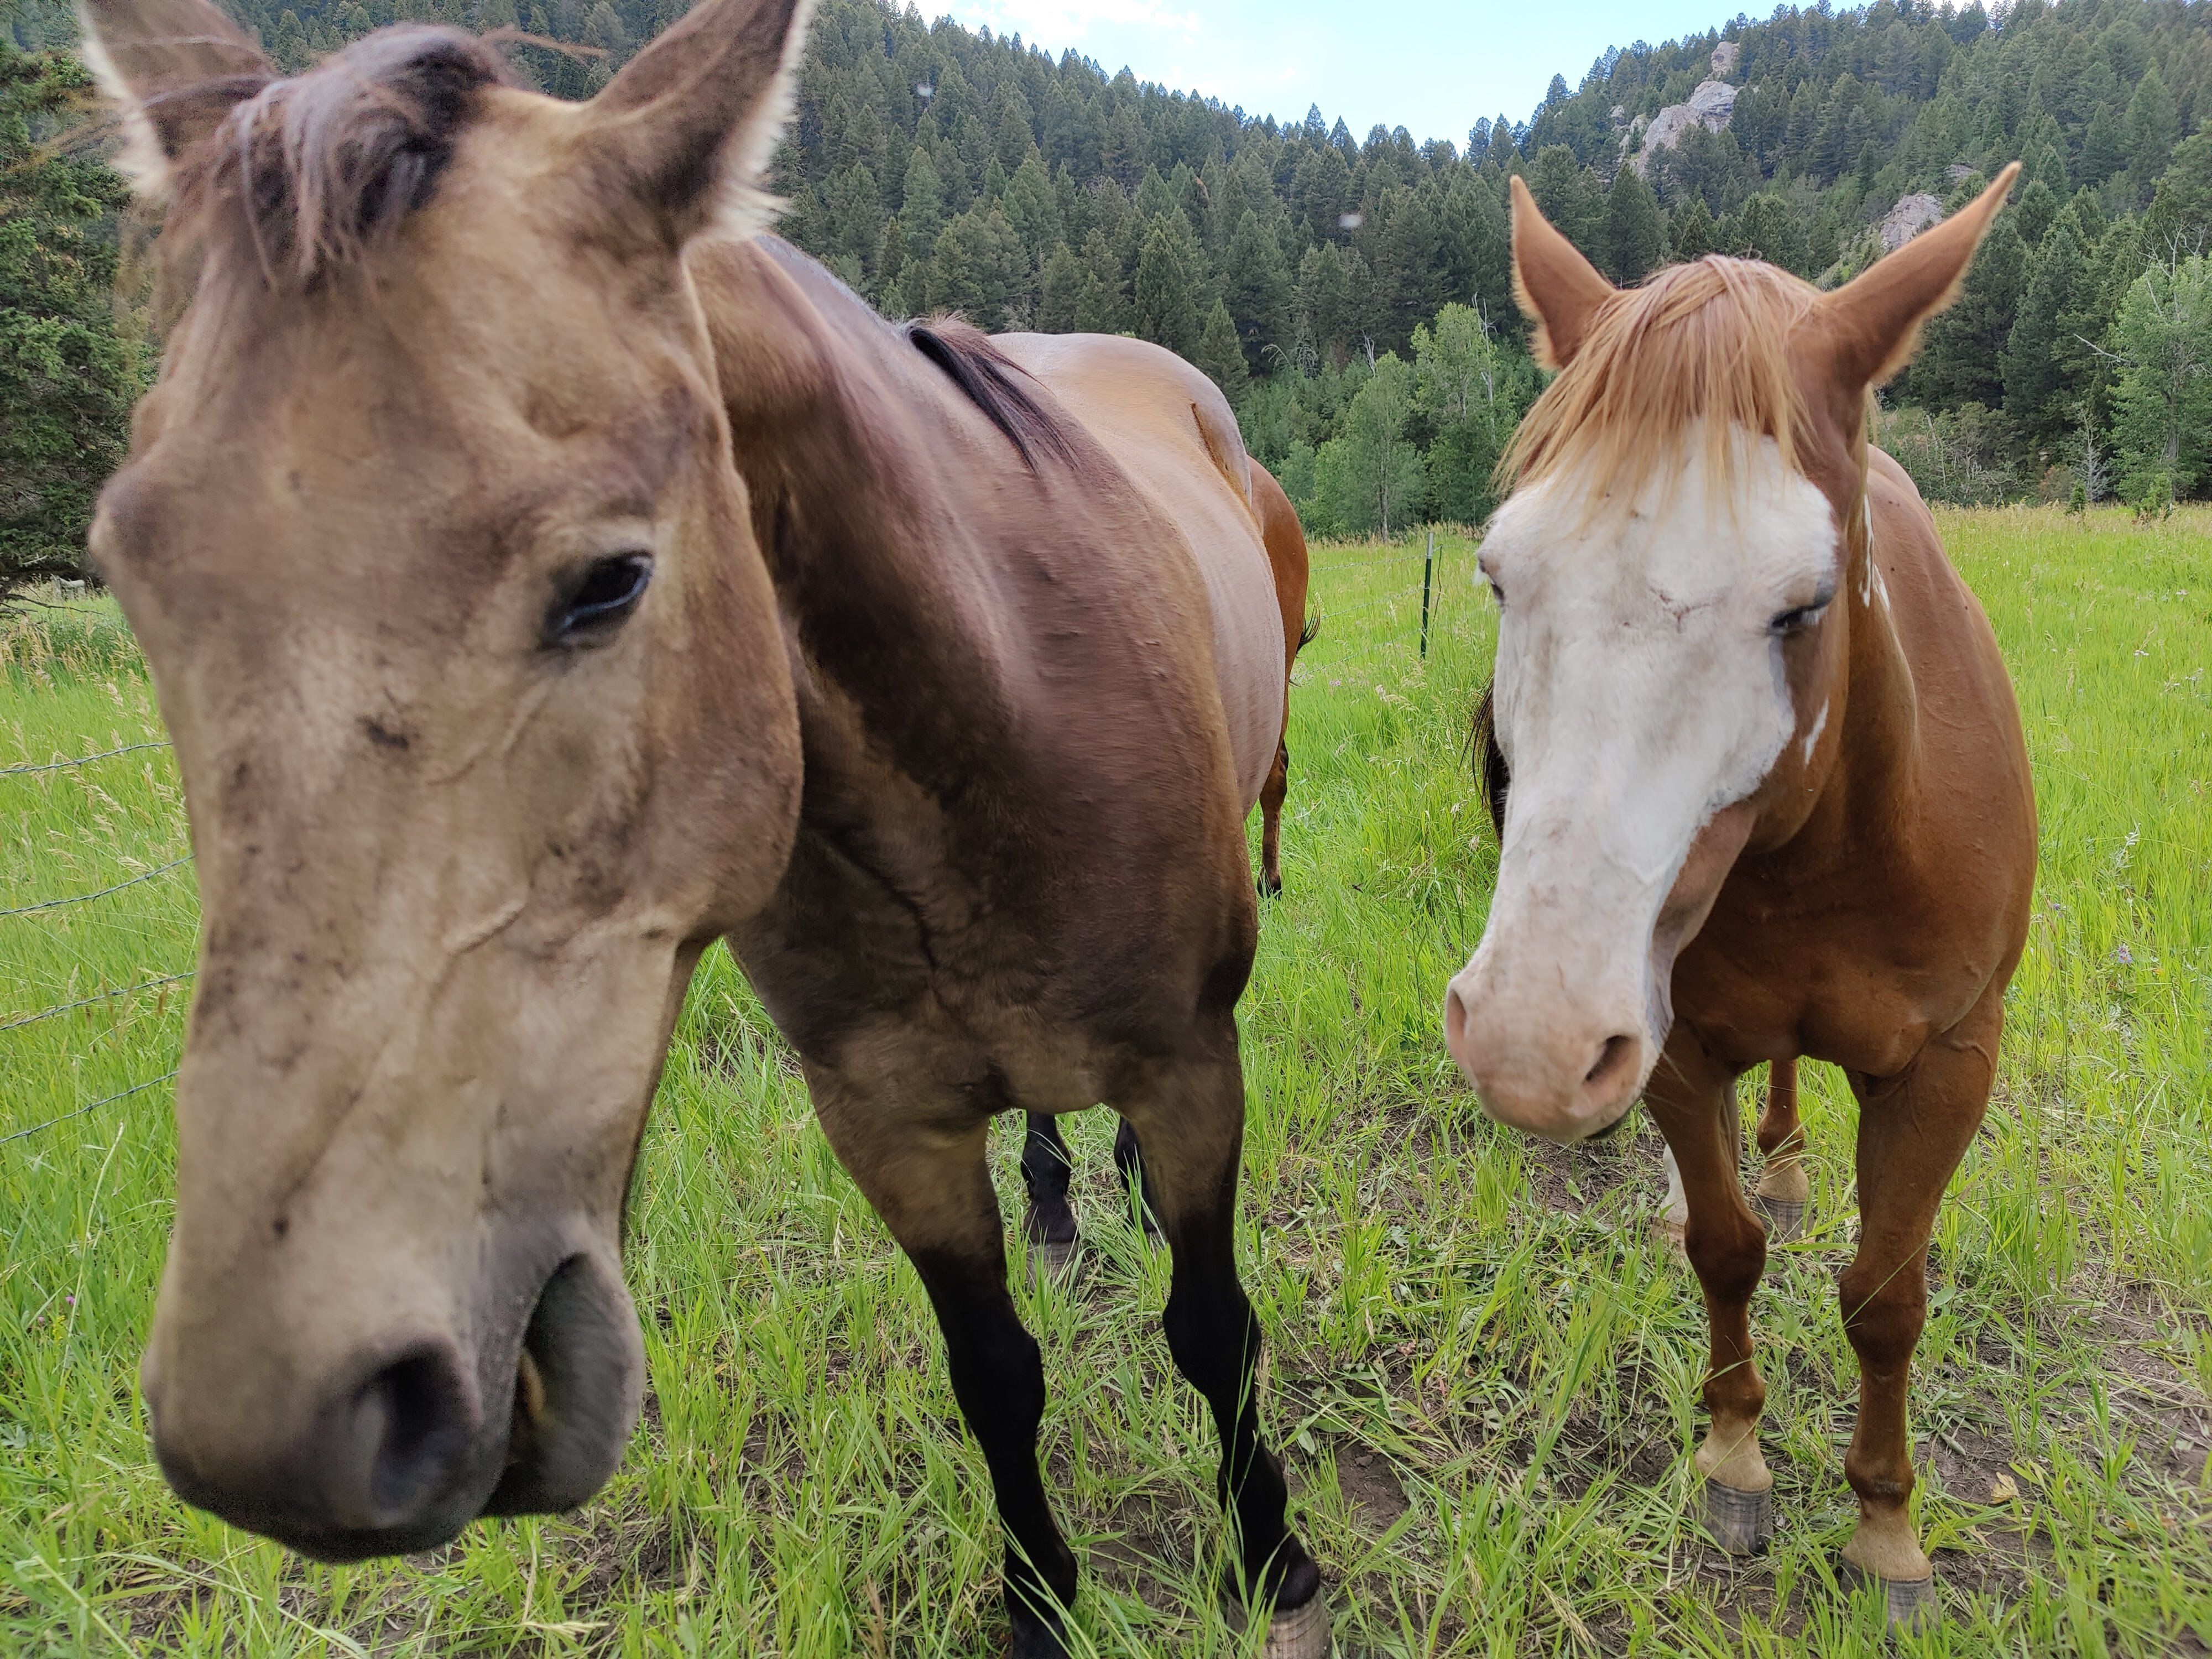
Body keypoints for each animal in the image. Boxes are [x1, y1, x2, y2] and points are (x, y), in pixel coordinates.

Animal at [82, 0, 1327, 1655]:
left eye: (610, 580)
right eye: (130, 569)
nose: (283, 1427)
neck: (996, 730)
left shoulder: (1193, 1066)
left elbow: (1211, 1325)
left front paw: (1269, 1555)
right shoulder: (888, 1121)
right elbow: (994, 1374)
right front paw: (1036, 1600)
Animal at [1451, 169, 2035, 1628]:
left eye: (1802, 604)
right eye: (1498, 575)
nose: (1530, 1043)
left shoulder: (1949, 1062)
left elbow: (1884, 1296)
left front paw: (1885, 1528)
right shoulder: (1670, 1049)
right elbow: (1723, 1249)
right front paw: (1731, 1459)